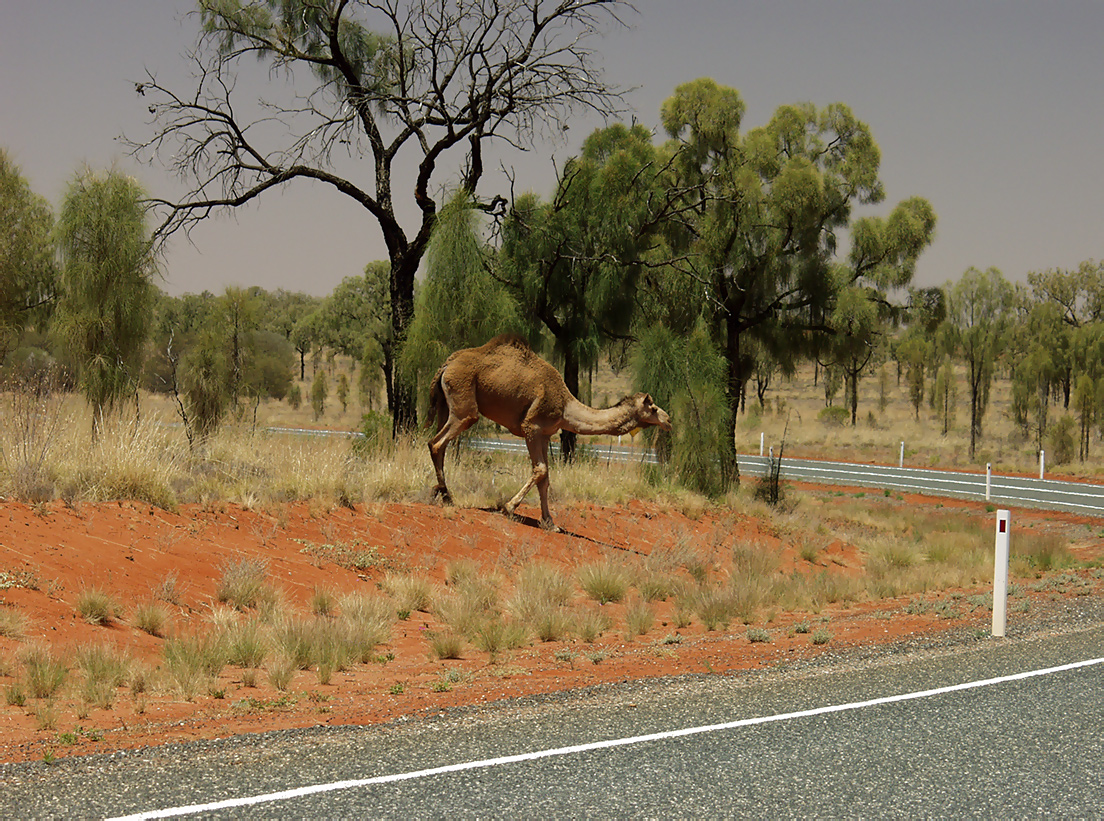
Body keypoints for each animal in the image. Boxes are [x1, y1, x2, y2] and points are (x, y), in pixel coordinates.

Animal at [428, 335, 671, 531]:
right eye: (653, 408)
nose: (668, 420)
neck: (565, 407)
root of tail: (446, 365)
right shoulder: (532, 427)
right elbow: (541, 470)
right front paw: (509, 507)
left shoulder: (545, 435)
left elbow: (545, 477)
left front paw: (550, 523)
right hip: (464, 403)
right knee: (438, 442)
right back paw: (447, 497)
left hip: (446, 404)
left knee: (437, 443)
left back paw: (438, 492)